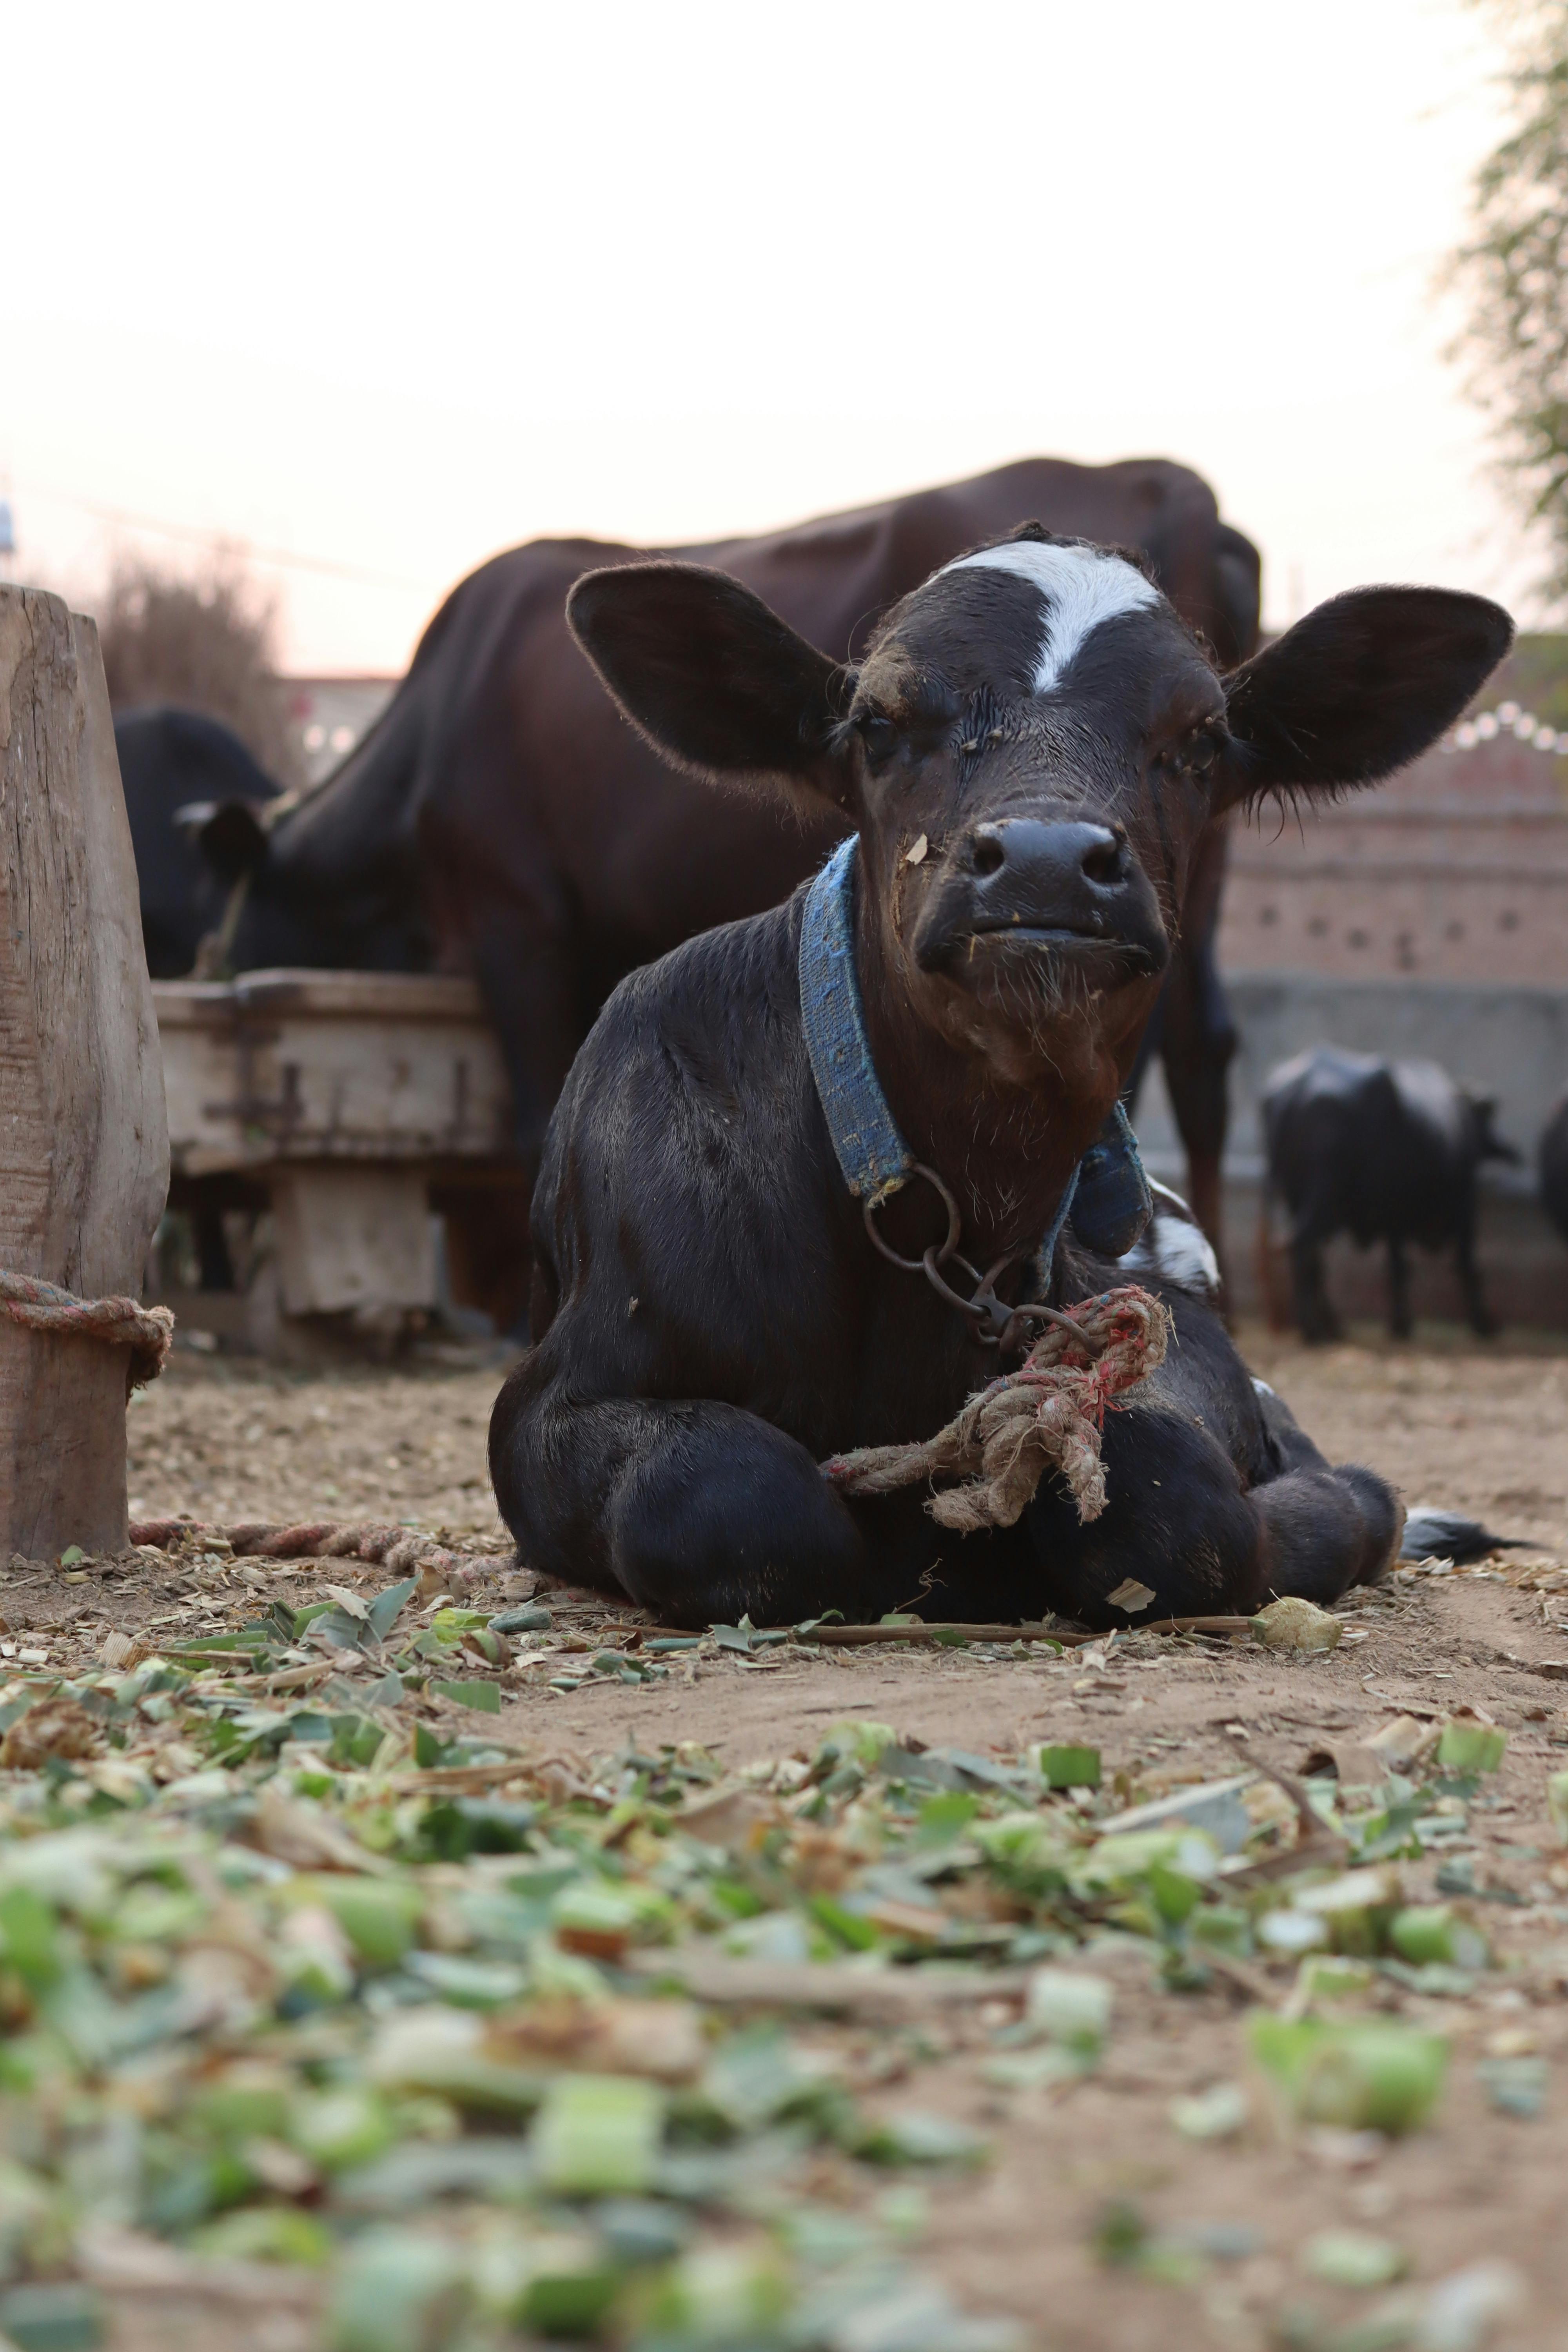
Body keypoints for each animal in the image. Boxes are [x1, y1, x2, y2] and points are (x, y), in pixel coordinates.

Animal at [1262, 1046, 1520, 1344]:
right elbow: (1465, 1265)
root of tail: (1295, 1091)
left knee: (1314, 1259)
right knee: (1303, 1247)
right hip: (1324, 1198)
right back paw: (1312, 1330)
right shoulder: (1463, 1206)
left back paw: (1332, 1326)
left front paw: (1400, 1322)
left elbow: (1397, 1267)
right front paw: (1481, 1322)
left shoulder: (1394, 1216)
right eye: (1488, 1121)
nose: (1512, 1149)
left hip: (1300, 1198)